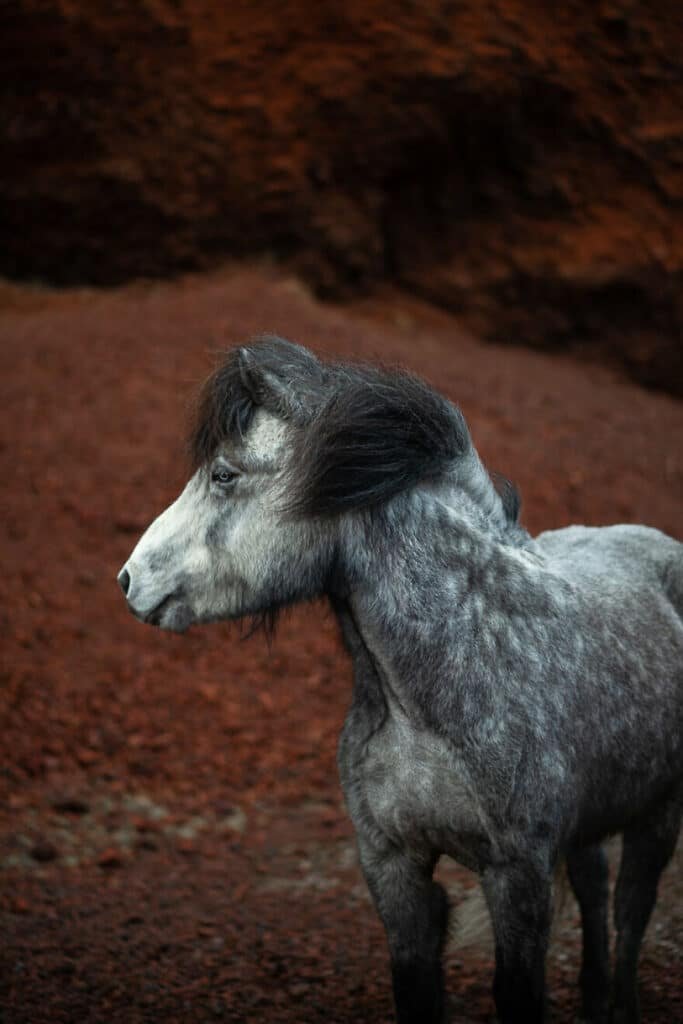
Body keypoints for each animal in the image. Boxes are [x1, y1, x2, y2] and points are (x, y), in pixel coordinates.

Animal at [118, 335, 683, 1024]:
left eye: (224, 474)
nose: (129, 579)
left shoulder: (517, 874)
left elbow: (521, 987)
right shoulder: (391, 865)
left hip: (658, 815)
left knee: (630, 913)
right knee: (597, 890)